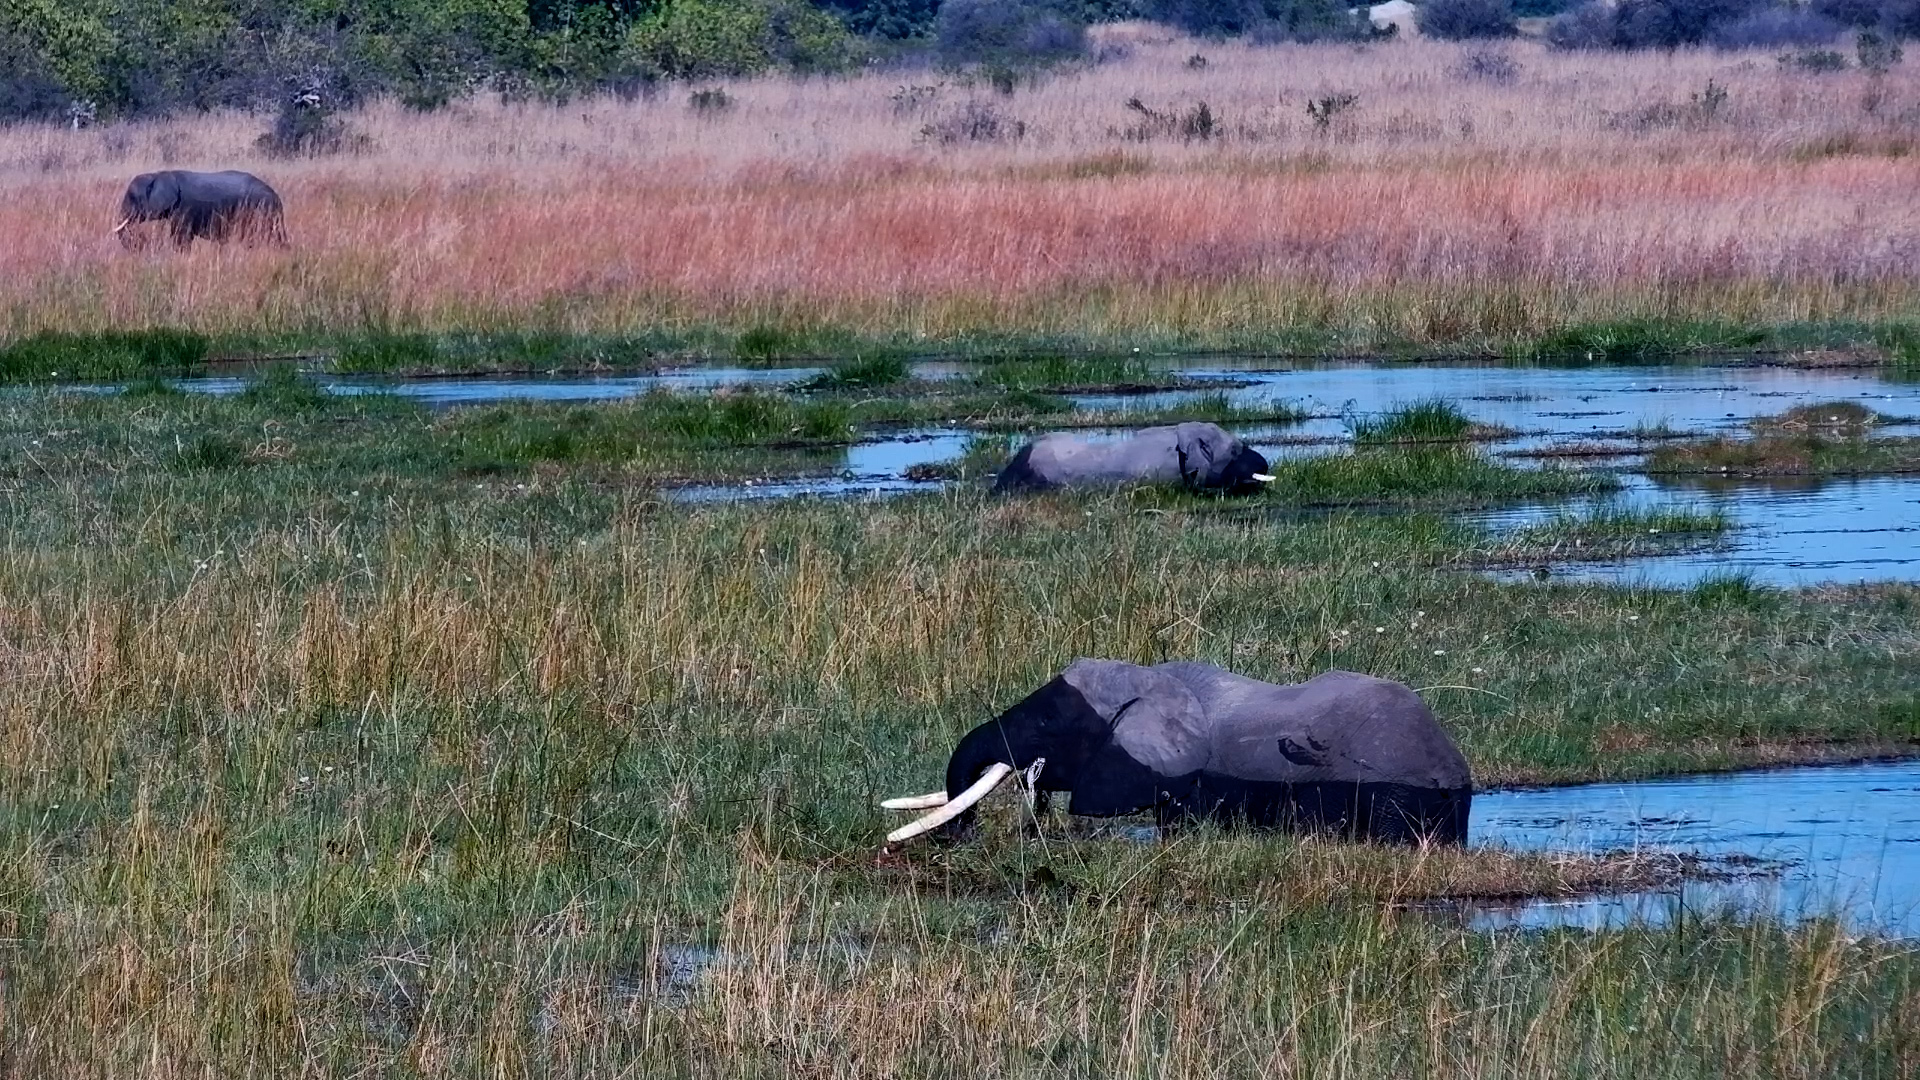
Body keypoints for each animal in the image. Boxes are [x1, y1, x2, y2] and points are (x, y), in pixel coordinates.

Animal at [114, 170, 287, 249]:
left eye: (131, 197)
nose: (140, 242)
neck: (158, 174)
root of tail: (277, 198)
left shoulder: (183, 208)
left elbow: (180, 237)